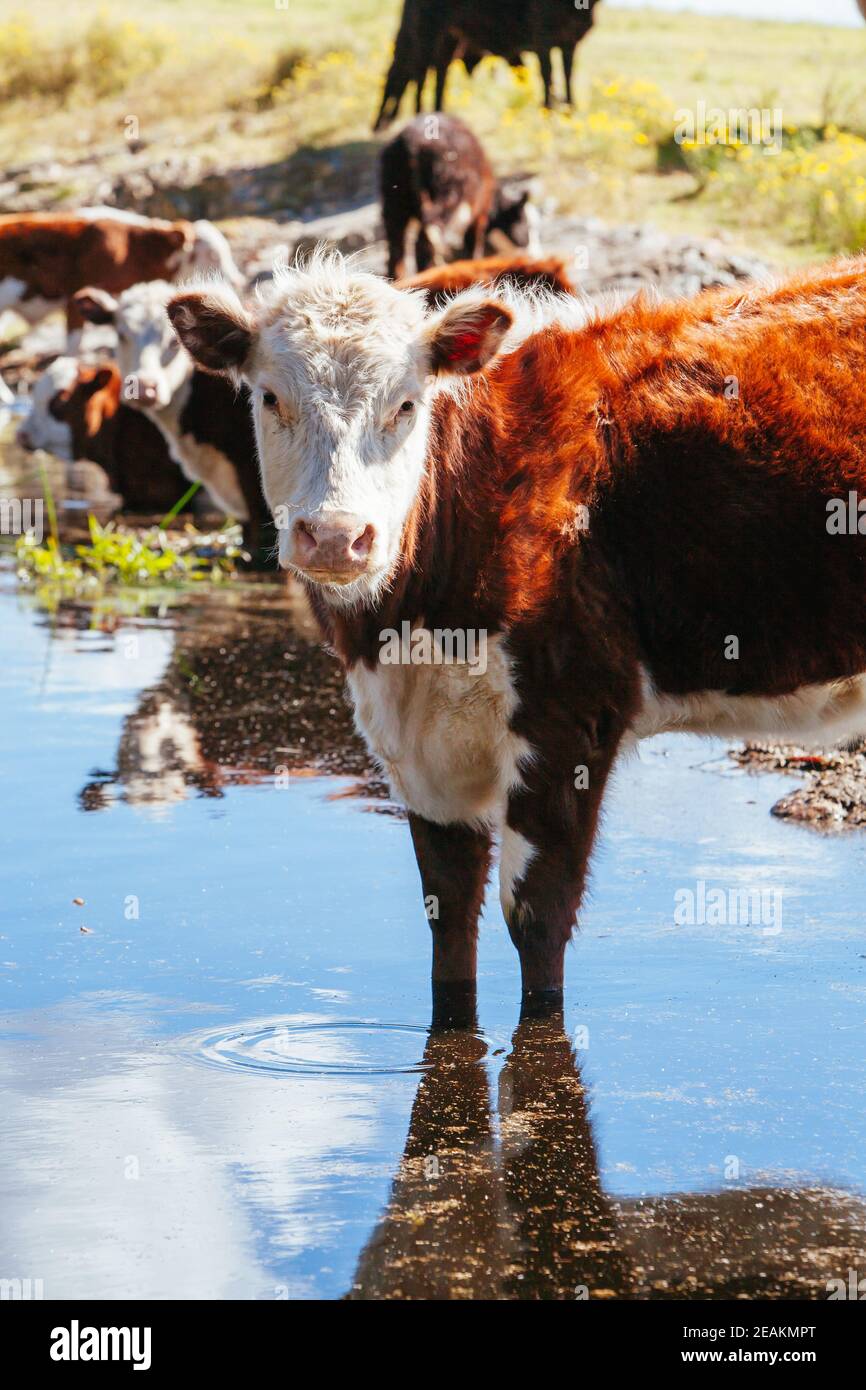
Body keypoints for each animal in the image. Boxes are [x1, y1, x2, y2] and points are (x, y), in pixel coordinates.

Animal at [380, 115, 539, 280]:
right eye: (527, 226)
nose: (535, 255)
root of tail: (414, 143)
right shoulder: (479, 215)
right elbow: (473, 242)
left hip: (394, 196)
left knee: (396, 244)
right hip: (445, 194)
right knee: (427, 240)